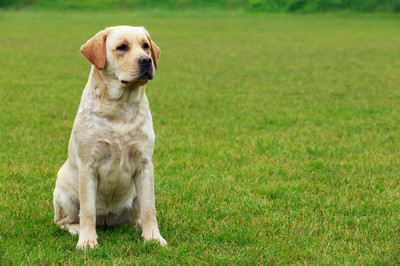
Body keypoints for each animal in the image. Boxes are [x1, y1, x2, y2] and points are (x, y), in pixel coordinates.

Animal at [52, 25, 167, 249]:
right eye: (122, 47)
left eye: (145, 46)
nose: (146, 60)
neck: (120, 108)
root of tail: (107, 219)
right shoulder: (88, 166)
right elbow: (88, 210)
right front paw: (87, 241)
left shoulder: (145, 165)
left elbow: (150, 208)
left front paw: (153, 238)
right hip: (66, 194)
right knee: (63, 221)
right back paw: (76, 229)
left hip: (134, 196)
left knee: (137, 214)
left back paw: (138, 226)